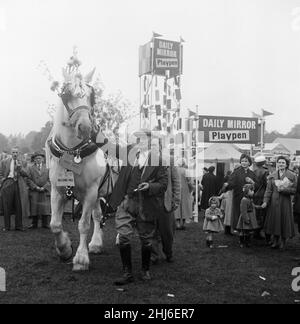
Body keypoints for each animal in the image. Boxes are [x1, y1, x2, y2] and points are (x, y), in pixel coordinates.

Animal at [47, 66, 110, 270]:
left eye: (91, 96)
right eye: (66, 95)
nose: (85, 127)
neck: (73, 152)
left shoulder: (90, 191)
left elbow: (83, 224)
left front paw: (81, 258)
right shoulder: (57, 190)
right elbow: (55, 224)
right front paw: (65, 248)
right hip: (96, 194)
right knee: (98, 215)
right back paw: (96, 244)